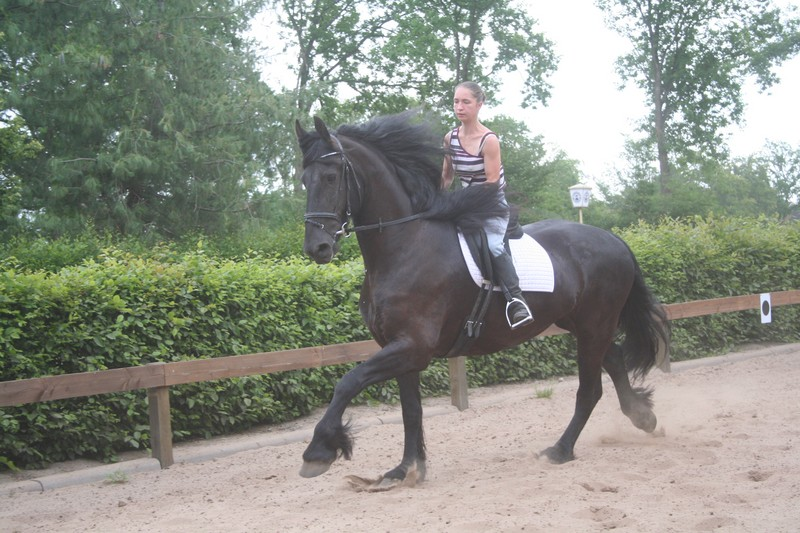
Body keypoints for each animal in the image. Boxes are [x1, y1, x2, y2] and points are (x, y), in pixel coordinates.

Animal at [294, 111, 670, 485]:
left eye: (330, 177)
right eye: (304, 180)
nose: (317, 248)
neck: (404, 246)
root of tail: (614, 239)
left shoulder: (412, 346)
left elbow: (348, 382)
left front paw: (318, 452)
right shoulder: (400, 348)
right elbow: (410, 410)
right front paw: (405, 469)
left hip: (595, 324)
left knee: (590, 389)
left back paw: (560, 450)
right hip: (580, 323)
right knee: (615, 360)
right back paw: (642, 416)